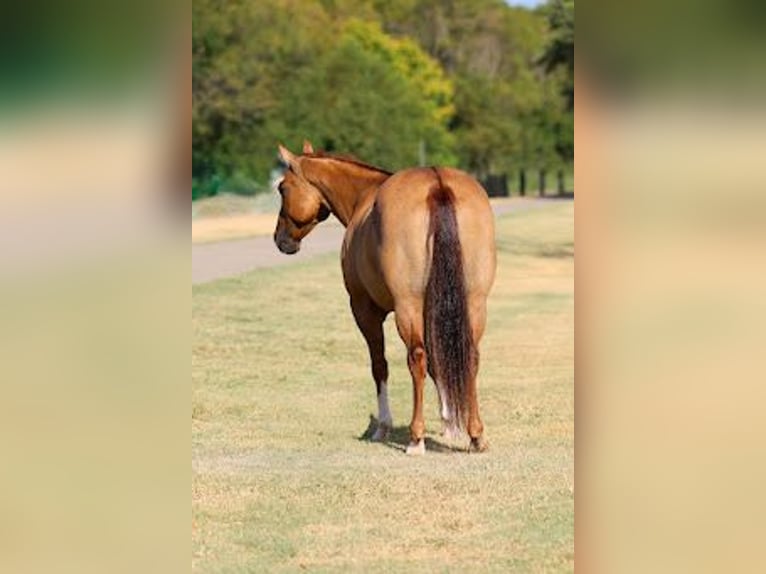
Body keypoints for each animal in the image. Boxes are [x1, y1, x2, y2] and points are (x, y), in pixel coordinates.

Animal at [274, 140, 496, 454]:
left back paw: (416, 438)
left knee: (417, 359)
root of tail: (437, 185)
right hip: (474, 302)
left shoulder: (364, 310)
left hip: (407, 307)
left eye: (282, 188)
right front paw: (449, 421)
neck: (364, 197)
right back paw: (476, 435)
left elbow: (380, 365)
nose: (280, 240)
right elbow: (440, 362)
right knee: (470, 355)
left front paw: (383, 426)